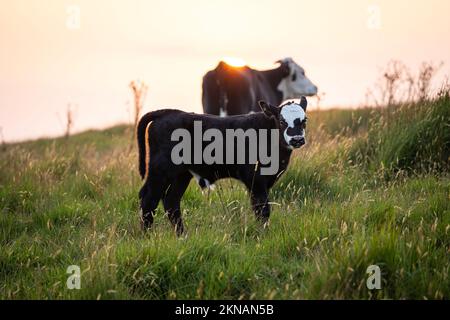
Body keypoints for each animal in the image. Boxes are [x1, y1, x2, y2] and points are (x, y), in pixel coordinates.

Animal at [135, 97, 308, 235]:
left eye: (304, 120)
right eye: (282, 121)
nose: (297, 139)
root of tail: (169, 112)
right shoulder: (255, 180)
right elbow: (262, 209)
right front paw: (264, 235)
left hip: (181, 175)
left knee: (171, 202)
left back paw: (182, 235)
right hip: (160, 171)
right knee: (149, 200)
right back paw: (147, 236)